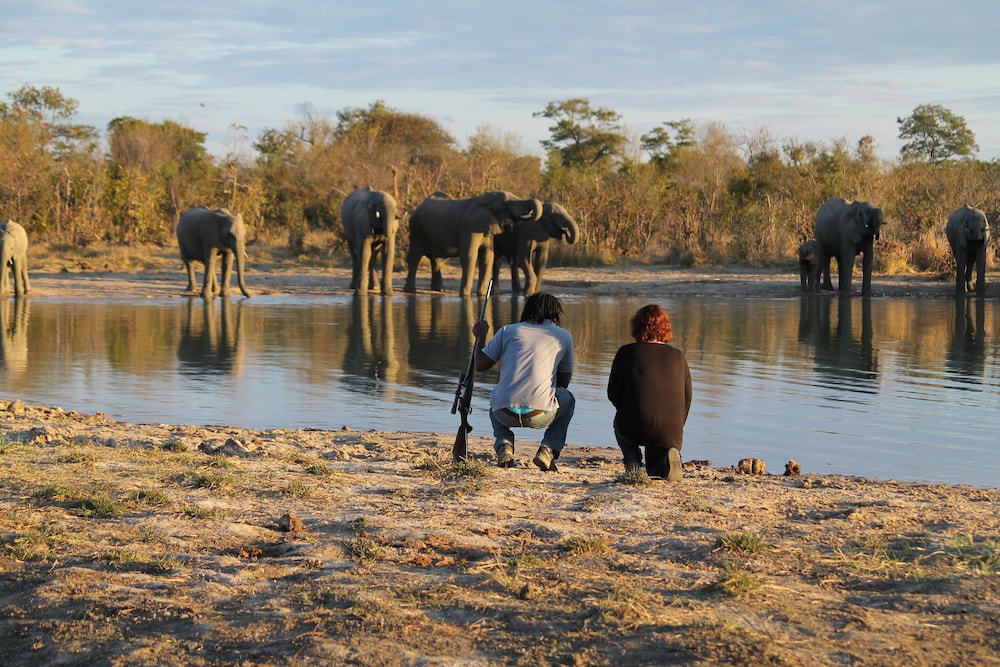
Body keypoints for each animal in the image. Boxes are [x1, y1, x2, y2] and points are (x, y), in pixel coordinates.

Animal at [403, 191, 542, 296]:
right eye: (507, 204)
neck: (484, 200)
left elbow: (487, 257)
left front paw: (481, 295)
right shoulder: (468, 227)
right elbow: (469, 256)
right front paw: (465, 296)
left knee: (435, 259)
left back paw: (439, 290)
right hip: (416, 229)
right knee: (415, 256)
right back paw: (411, 291)